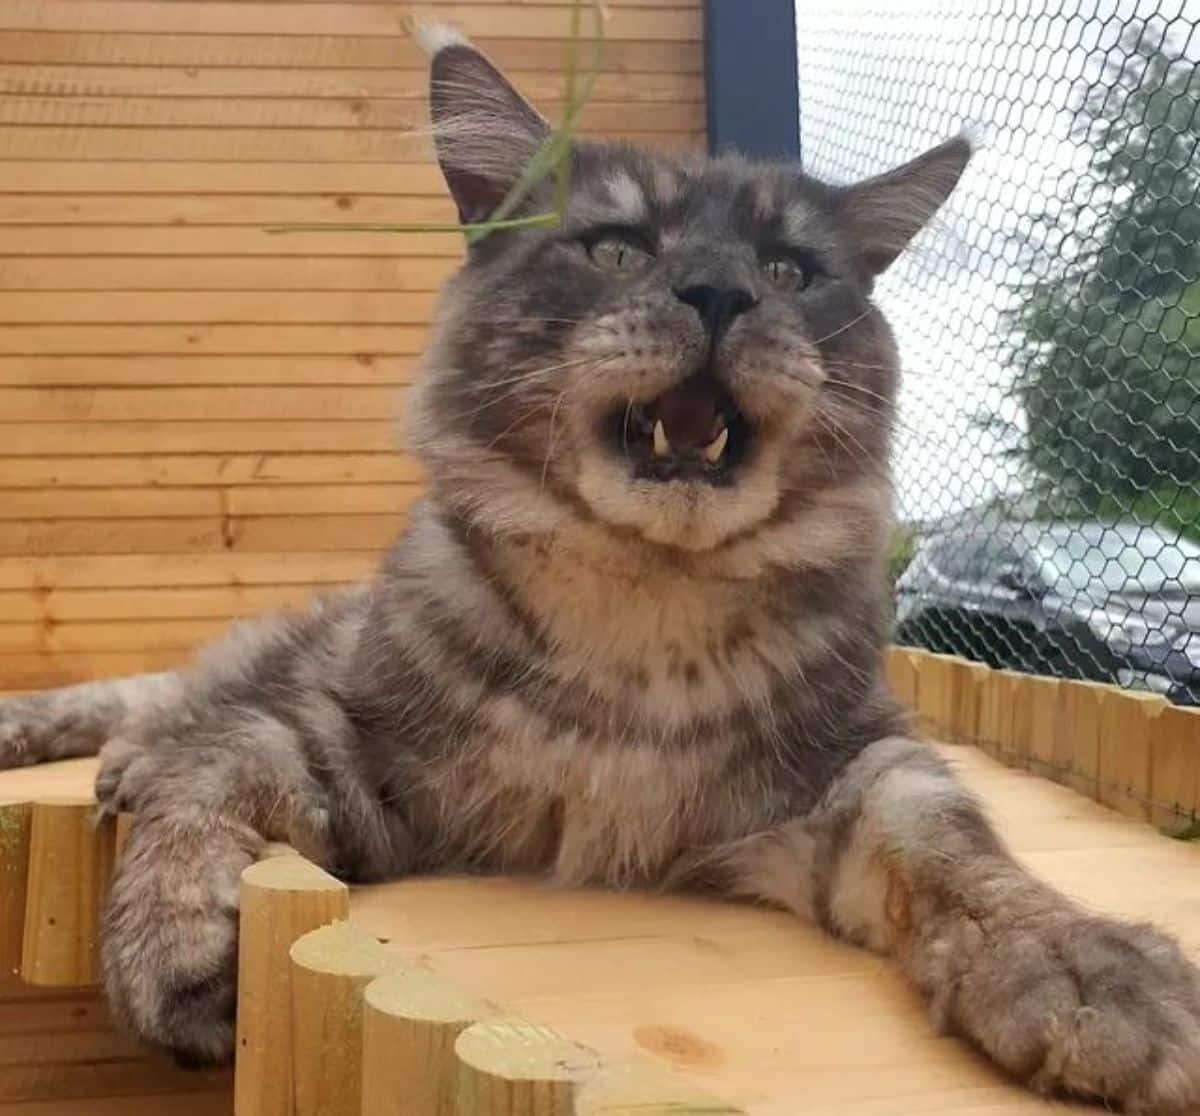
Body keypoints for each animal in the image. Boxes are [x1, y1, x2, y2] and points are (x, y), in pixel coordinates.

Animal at [2, 28, 1200, 1113]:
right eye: (619, 250)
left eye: (787, 272)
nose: (718, 292)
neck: (642, 613)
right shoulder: (351, 743)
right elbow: (220, 758)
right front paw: (169, 932)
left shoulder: (851, 777)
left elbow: (954, 848)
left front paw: (1085, 969)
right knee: (162, 697)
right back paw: (93, 750)